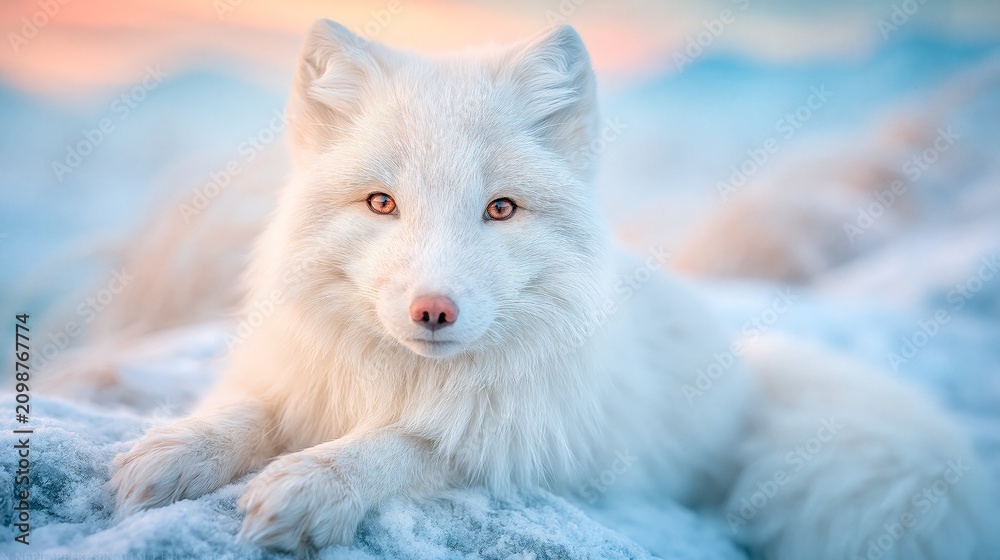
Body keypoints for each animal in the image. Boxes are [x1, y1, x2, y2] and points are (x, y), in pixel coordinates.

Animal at [110, 20, 996, 559]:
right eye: (381, 203)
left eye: (500, 208)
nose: (434, 310)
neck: (405, 376)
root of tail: (751, 364)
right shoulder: (299, 372)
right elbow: (252, 410)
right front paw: (178, 448)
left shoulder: (527, 439)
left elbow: (406, 446)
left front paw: (316, 482)